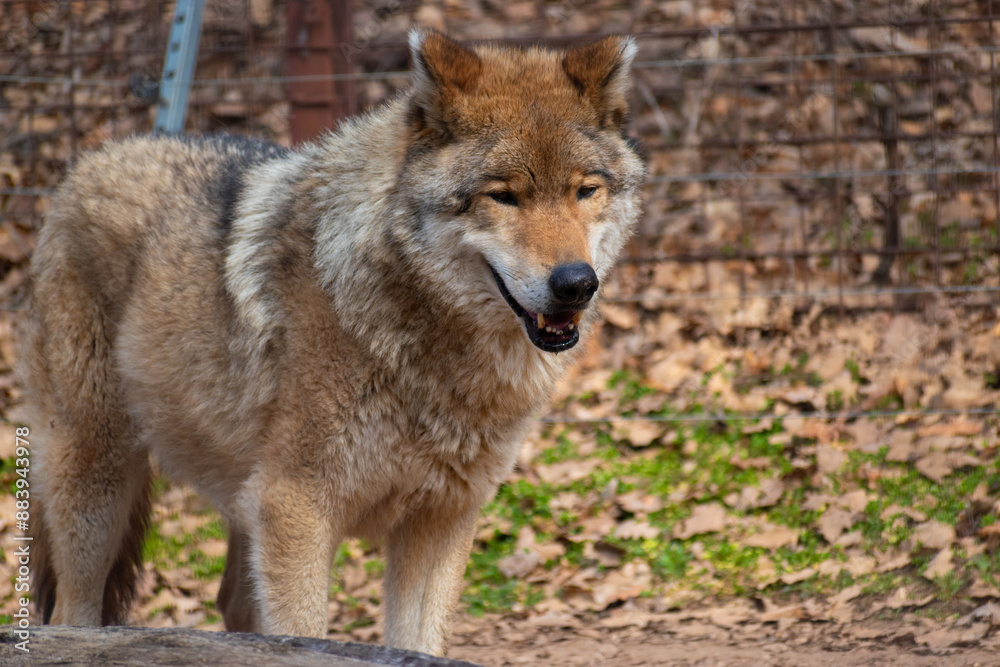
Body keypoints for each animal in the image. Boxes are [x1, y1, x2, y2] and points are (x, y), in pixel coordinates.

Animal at [21, 30, 644, 655]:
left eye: (585, 191)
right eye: (504, 197)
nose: (576, 283)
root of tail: (88, 161)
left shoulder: (441, 518)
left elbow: (418, 644)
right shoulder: (296, 509)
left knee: (230, 603)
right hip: (96, 483)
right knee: (71, 614)